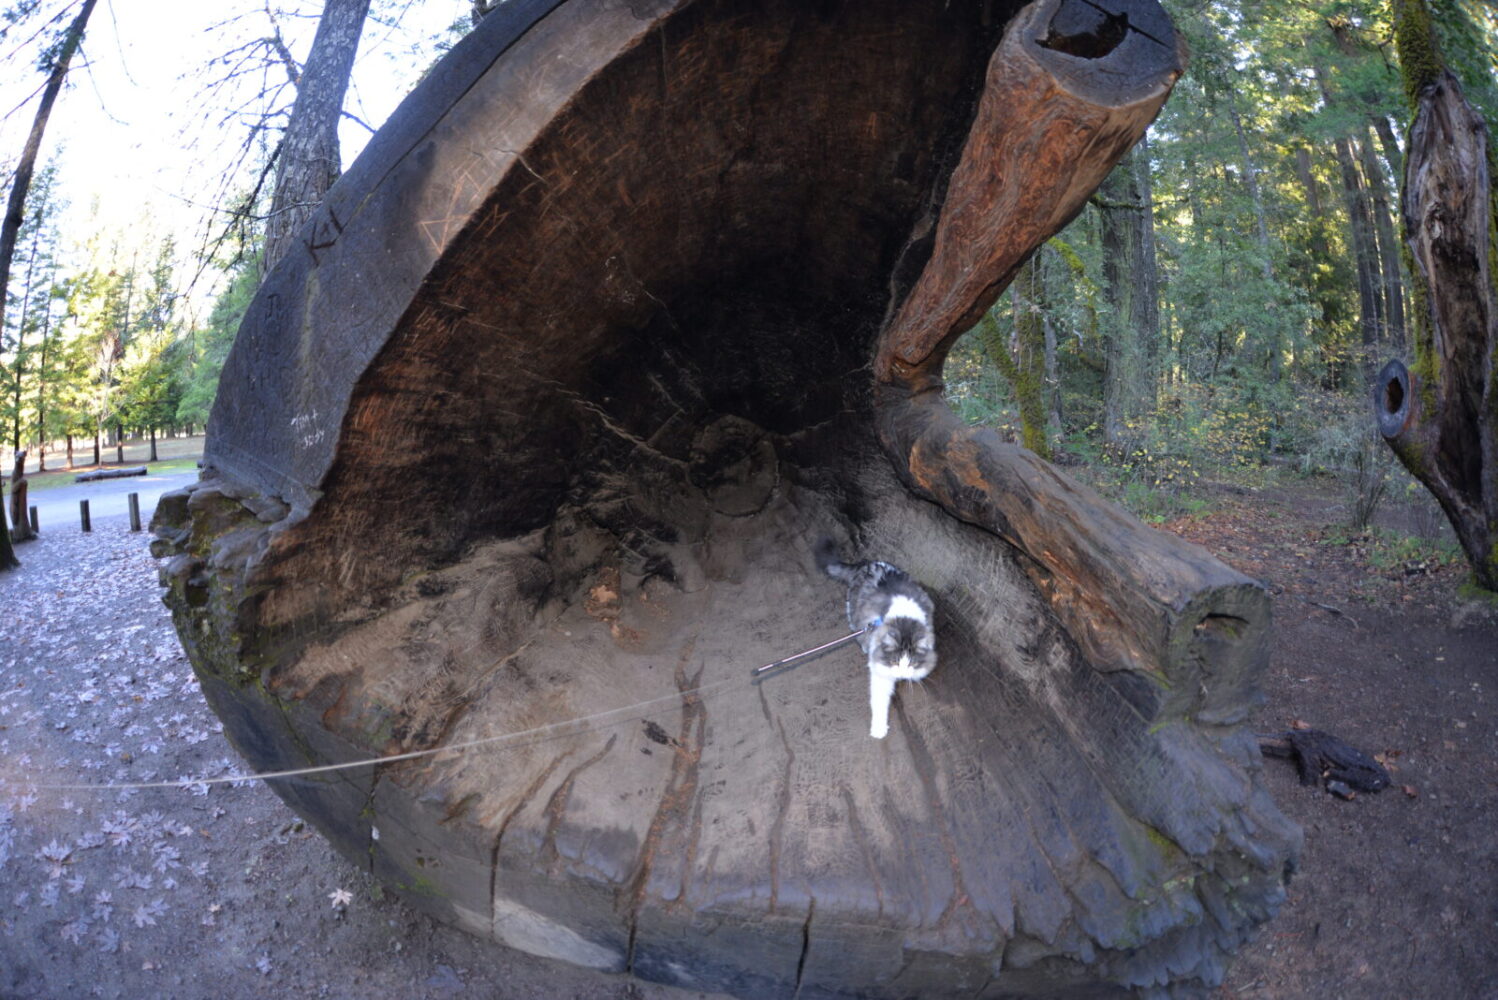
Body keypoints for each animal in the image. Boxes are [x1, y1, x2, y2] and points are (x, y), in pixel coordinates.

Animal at [820, 535, 934, 739]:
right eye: (895, 661)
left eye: (911, 662)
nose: (900, 675)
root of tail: (867, 564)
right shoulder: (879, 670)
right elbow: (880, 700)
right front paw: (879, 729)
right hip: (853, 611)